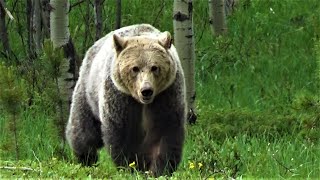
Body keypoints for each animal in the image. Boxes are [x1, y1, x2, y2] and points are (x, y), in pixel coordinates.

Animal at [66, 23, 188, 176]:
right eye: (135, 68)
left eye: (155, 67)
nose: (146, 90)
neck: (142, 103)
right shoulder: (120, 98)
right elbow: (123, 135)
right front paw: (131, 166)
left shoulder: (166, 96)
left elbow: (165, 132)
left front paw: (159, 169)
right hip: (88, 92)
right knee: (83, 130)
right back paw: (85, 159)